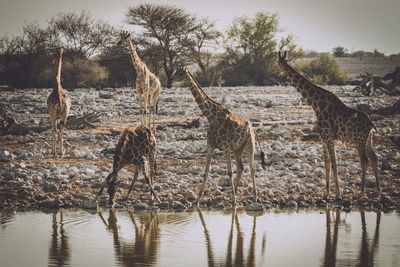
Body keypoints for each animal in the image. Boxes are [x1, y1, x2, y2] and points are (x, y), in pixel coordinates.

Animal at [180, 68, 266, 206]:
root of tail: (253, 129)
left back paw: (254, 197)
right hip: (238, 149)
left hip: (249, 144)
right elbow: (206, 172)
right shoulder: (210, 145)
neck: (211, 117)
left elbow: (229, 172)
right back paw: (234, 193)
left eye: (180, 72)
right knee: (241, 168)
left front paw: (234, 201)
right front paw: (197, 200)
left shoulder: (226, 146)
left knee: (252, 168)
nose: (177, 76)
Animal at [276, 50, 380, 199]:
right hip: (368, 139)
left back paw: (361, 192)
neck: (315, 103)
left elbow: (334, 163)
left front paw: (337, 193)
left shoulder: (328, 135)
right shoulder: (323, 137)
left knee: (365, 161)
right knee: (374, 158)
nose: (279, 74)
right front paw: (326, 193)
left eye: (279, 62)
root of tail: (371, 125)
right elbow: (327, 163)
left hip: (359, 140)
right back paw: (378, 191)